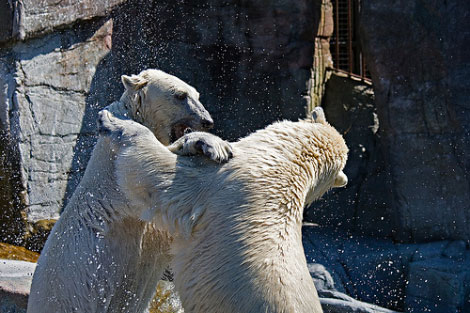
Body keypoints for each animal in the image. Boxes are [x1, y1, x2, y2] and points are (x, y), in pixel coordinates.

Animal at [27, 69, 231, 312]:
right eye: (180, 95)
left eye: (197, 95)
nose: (207, 121)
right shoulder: (115, 179)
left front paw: (211, 145)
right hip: (64, 299)